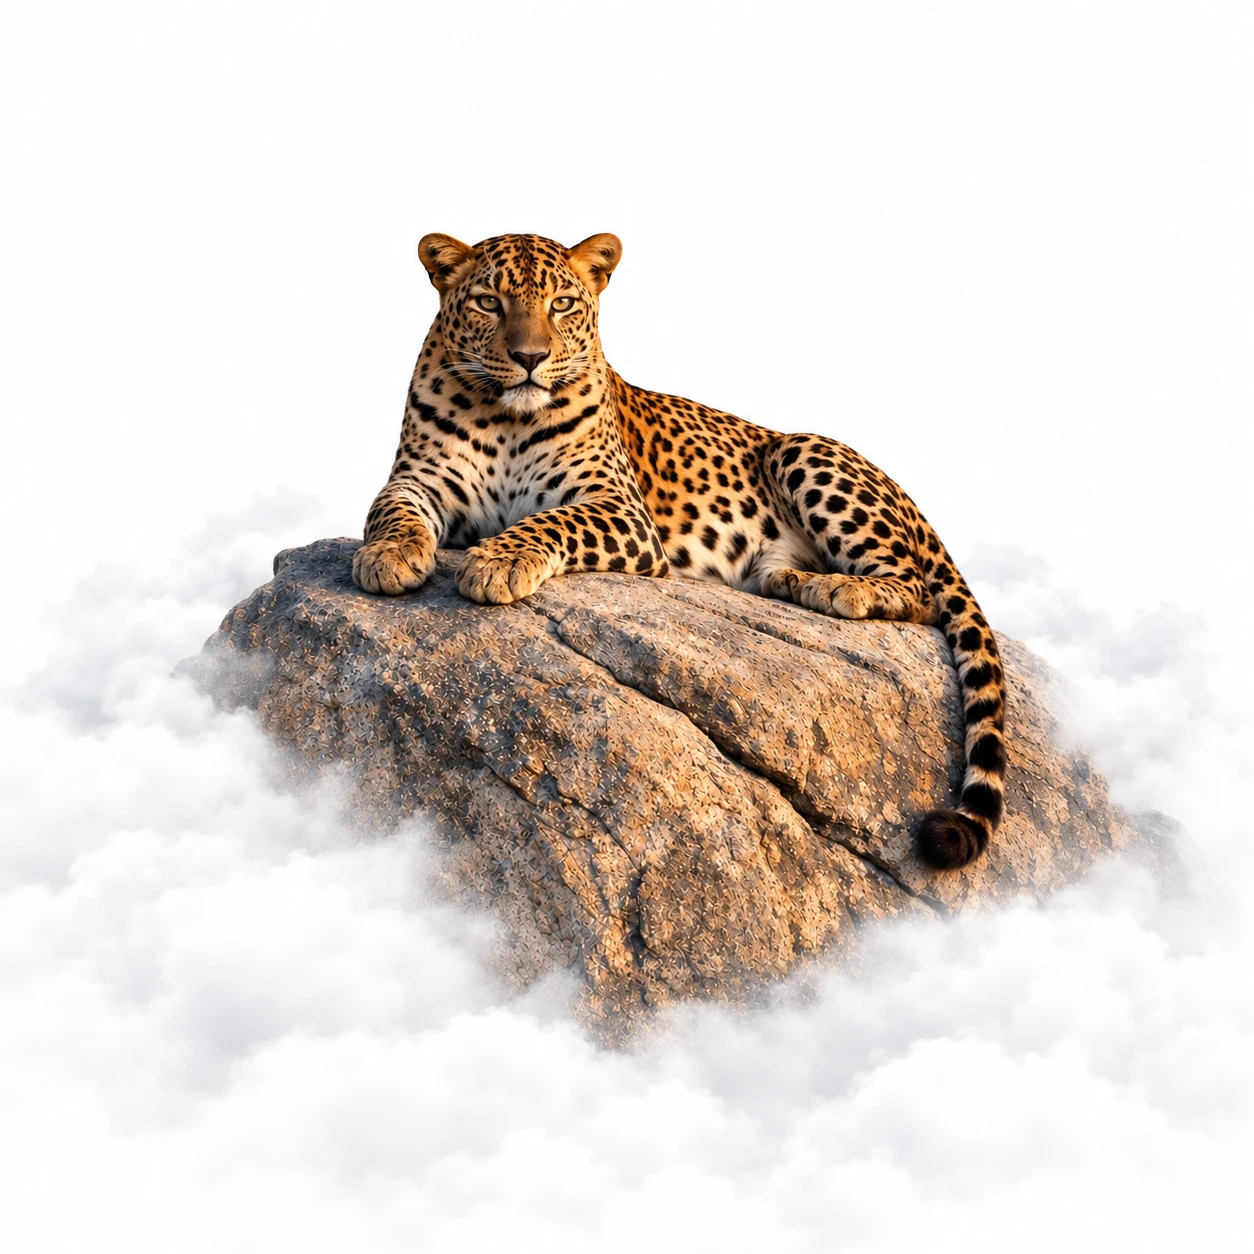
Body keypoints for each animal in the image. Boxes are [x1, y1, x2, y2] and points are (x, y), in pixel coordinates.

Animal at [353, 232, 1007, 870]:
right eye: (490, 303)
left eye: (561, 305)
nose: (530, 359)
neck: (505, 417)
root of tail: (907, 496)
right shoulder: (419, 480)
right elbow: (390, 512)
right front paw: (388, 556)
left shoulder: (618, 505)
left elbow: (550, 521)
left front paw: (497, 561)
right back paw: (795, 585)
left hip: (802, 452)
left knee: (917, 591)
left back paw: (839, 589)